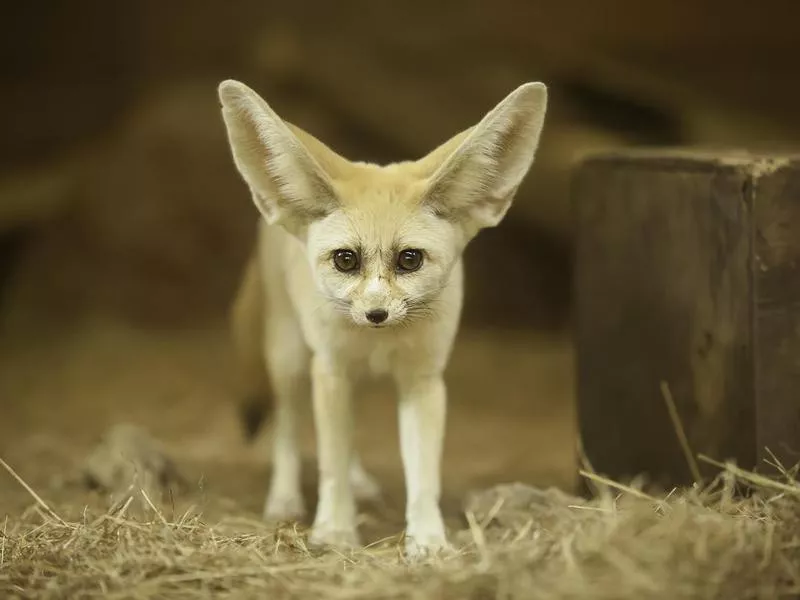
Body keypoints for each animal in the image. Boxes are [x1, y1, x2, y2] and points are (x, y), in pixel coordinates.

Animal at [216, 79, 548, 556]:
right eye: (346, 259)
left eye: (409, 259)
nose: (376, 313)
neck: (378, 342)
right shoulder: (331, 369)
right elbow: (330, 461)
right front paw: (335, 531)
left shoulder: (422, 380)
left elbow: (423, 475)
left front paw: (428, 540)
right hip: (291, 359)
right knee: (287, 426)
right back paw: (284, 498)